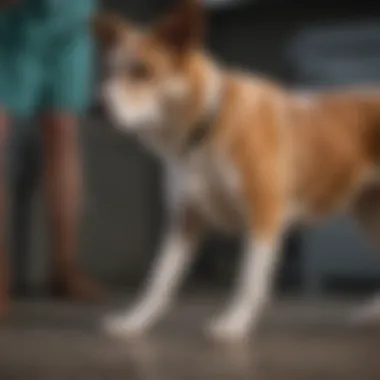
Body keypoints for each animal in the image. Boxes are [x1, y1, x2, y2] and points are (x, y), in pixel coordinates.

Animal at [93, 0, 380, 344]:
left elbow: (248, 278)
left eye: (142, 71)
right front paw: (134, 322)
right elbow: (159, 279)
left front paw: (234, 323)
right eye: (109, 72)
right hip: (370, 214)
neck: (207, 126)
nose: (95, 107)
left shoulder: (264, 212)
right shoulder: (185, 219)